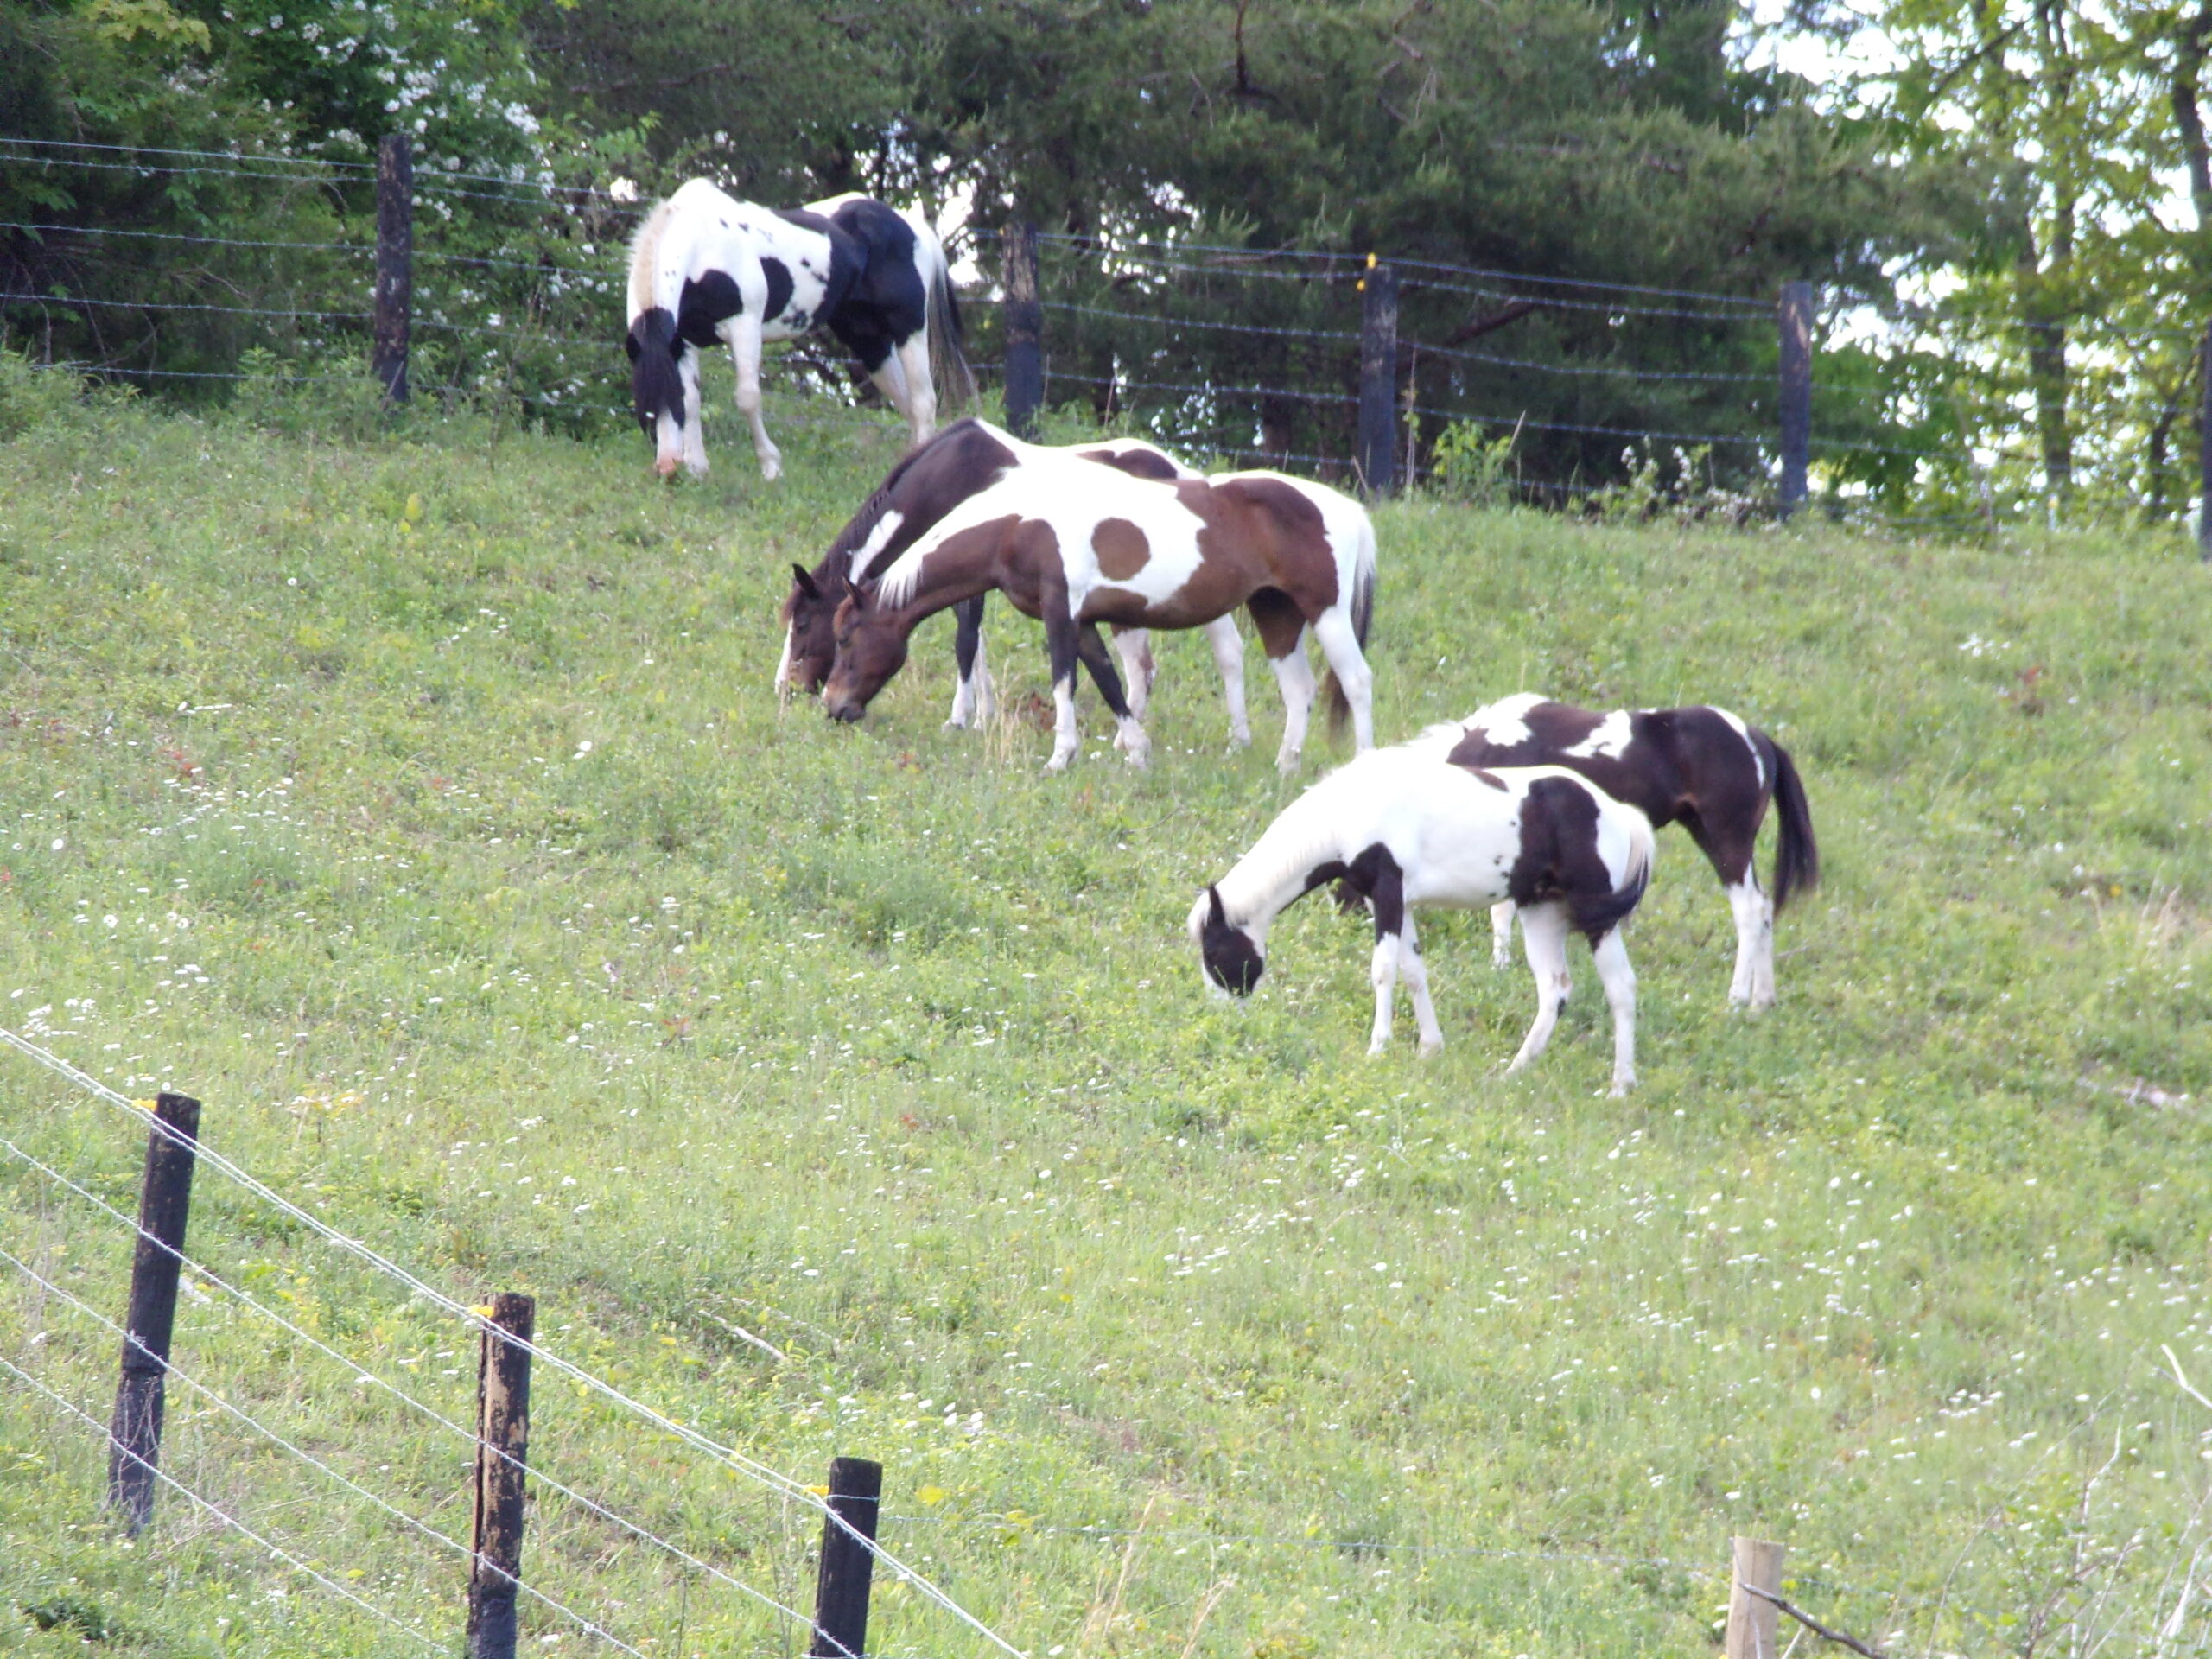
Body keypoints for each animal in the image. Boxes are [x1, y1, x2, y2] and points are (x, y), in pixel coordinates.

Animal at [625, 179, 972, 481]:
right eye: (646, 408)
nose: (667, 468)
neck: (704, 245)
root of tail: (913, 226)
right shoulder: (683, 341)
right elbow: (694, 401)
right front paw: (698, 469)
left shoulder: (745, 326)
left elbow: (748, 398)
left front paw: (770, 467)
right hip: (868, 341)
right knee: (906, 403)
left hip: (909, 327)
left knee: (924, 401)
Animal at [777, 418, 1252, 743]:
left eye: (804, 625)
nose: (786, 688)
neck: (947, 478)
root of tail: (1184, 472)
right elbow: (977, 646)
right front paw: (982, 715)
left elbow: (966, 642)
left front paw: (959, 718)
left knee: (1165, 664)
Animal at [820, 462, 1378, 773]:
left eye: (845, 638)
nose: (833, 706)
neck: (1019, 523)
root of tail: (1347, 509)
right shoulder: (1084, 622)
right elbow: (1109, 682)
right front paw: (1137, 753)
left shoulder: (1059, 613)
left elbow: (1065, 682)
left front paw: (1060, 756)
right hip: (1275, 613)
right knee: (1300, 692)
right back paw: (1285, 767)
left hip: (1326, 613)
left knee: (1355, 681)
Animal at [1188, 741, 1654, 1092]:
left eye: (1214, 953)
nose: (1221, 1018)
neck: (1351, 811)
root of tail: (1618, 813)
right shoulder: (1396, 903)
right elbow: (1414, 972)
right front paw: (1429, 1047)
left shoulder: (1388, 895)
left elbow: (1384, 971)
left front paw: (1378, 1048)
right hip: (1542, 913)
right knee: (1554, 990)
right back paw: (1514, 1070)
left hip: (1596, 920)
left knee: (1621, 988)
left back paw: (1620, 1085)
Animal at [1432, 693, 1818, 1008]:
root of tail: (1757, 738)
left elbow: (1500, 910)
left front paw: (1499, 966)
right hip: (1709, 835)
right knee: (1764, 908)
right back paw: (1761, 1000)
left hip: (1727, 840)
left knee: (1750, 910)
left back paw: (1736, 999)